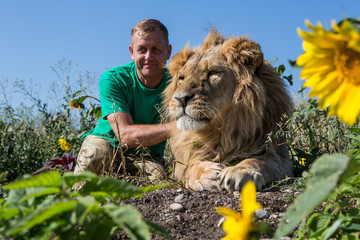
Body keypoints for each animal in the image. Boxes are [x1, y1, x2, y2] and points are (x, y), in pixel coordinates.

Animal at [165, 30, 294, 192]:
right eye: (181, 78)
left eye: (213, 73)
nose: (180, 99)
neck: (222, 130)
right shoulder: (180, 164)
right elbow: (190, 166)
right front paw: (206, 173)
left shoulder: (281, 158)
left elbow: (259, 161)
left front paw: (240, 171)